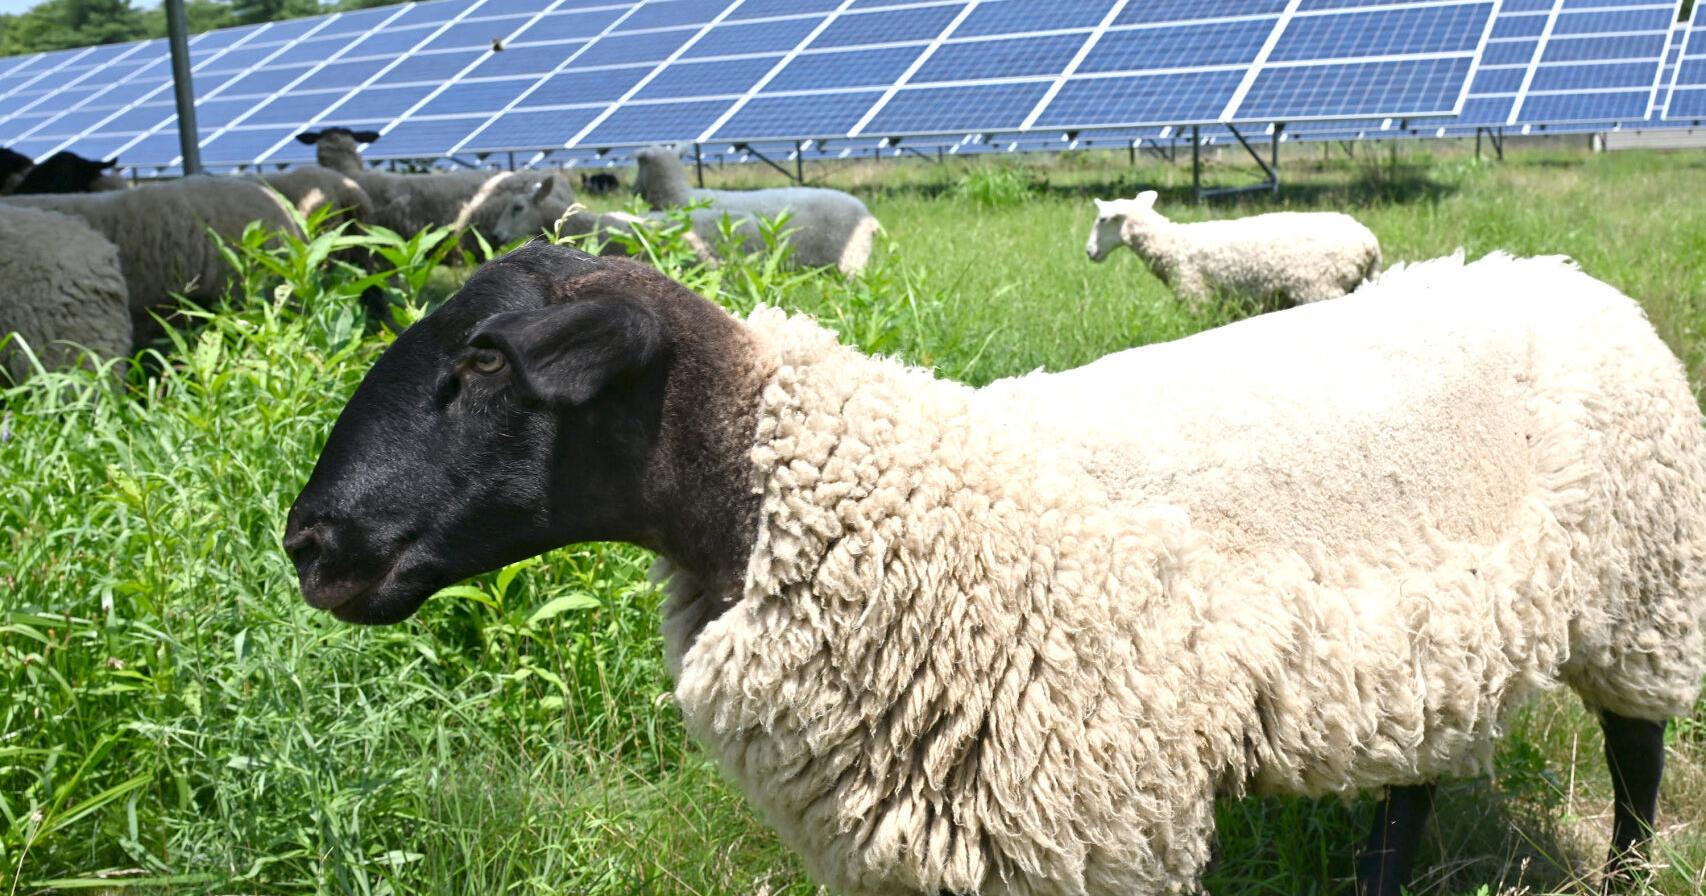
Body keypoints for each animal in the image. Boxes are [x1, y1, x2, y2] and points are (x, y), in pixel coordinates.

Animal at [286, 243, 1706, 896]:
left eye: (484, 362)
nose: (310, 544)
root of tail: (1564, 275)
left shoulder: (1083, 814)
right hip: (1424, 645)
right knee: (1408, 781)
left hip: (1638, 597)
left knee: (1635, 751)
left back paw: (1629, 869)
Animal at [1087, 189, 1381, 310]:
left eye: (1103, 219)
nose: (1089, 252)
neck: (1171, 244)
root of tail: (1369, 242)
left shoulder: (1195, 293)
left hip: (1321, 288)